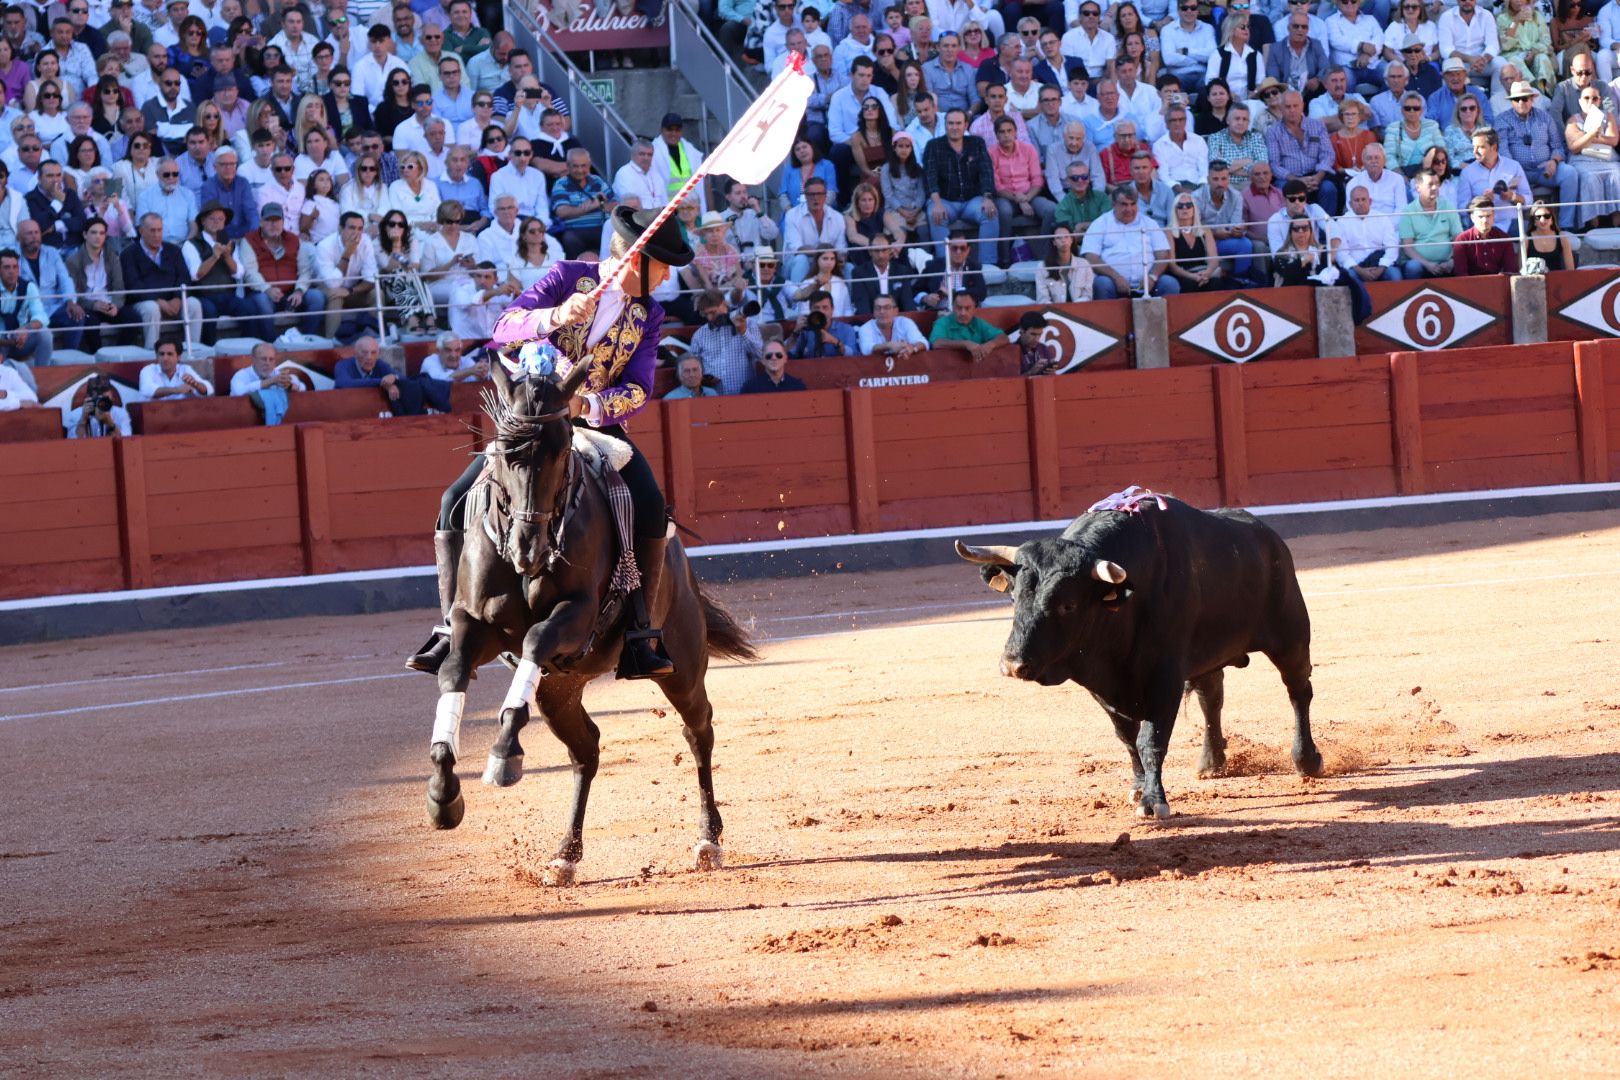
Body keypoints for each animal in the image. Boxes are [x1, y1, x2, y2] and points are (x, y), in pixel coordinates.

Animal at [430, 359, 758, 880]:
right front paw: (444, 795)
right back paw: (566, 854)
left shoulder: (578, 616)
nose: (528, 550)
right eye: (504, 448)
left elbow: (536, 639)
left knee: (698, 730)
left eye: (562, 447)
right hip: (558, 690)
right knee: (585, 751)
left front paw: (503, 755)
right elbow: (453, 670)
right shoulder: (472, 621)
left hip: (682, 665)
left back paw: (708, 840)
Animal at [959, 498, 1315, 819]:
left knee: (1298, 691)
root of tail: (1268, 536)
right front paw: (1138, 787)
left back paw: (1307, 760)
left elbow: (1151, 739)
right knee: (1211, 698)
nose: (1012, 664)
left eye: (1067, 605)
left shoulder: (1165, 678)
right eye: (1014, 597)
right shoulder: (1102, 686)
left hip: (1291, 636)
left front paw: (1153, 802)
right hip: (1208, 656)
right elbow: (1127, 738)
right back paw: (1211, 763)